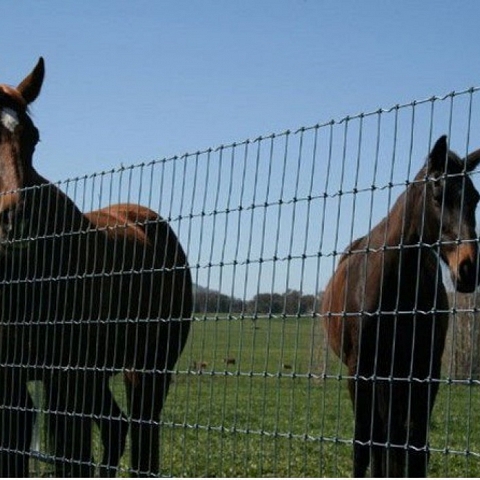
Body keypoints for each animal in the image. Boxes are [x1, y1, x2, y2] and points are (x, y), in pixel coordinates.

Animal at [0, 59, 192, 476]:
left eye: (33, 138)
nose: (15, 222)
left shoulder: (65, 381)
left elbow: (71, 459)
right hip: (98, 378)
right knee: (116, 426)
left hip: (146, 373)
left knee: (142, 440)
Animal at [320, 137, 480, 478]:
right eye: (438, 195)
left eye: (475, 198)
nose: (468, 269)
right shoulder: (359, 371)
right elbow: (364, 445)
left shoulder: (424, 371)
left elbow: (415, 447)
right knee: (380, 437)